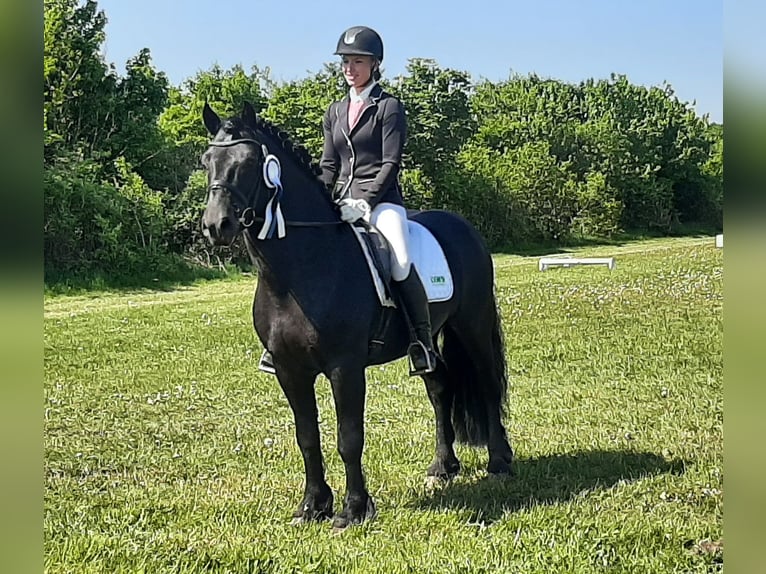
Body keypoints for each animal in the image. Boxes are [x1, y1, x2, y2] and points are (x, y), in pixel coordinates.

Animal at [200, 101, 514, 529]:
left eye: (248, 162)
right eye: (206, 161)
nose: (216, 225)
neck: (301, 272)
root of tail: (462, 225)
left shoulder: (344, 367)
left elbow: (349, 437)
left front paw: (353, 509)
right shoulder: (289, 370)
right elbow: (307, 438)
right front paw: (312, 506)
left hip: (473, 325)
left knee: (487, 382)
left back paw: (499, 461)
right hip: (427, 341)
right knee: (439, 389)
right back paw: (442, 467)